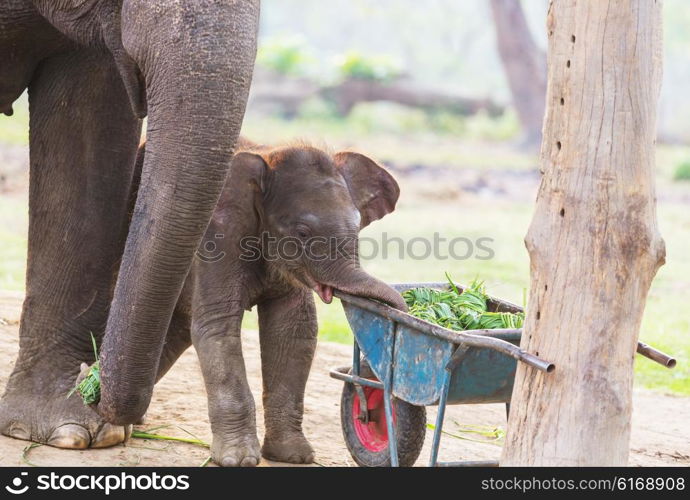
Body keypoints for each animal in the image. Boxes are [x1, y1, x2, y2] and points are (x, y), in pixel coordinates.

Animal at [133, 139, 404, 466]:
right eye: (302, 233)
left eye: (358, 228)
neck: (268, 155)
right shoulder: (217, 238)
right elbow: (218, 325)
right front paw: (238, 460)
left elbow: (293, 331)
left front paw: (293, 455)